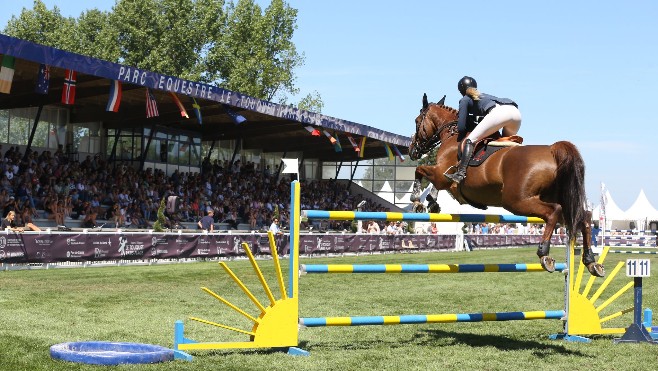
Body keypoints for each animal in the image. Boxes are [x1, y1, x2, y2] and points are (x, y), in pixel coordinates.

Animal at [408, 94, 604, 278]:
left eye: (417, 121)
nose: (412, 150)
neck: (452, 135)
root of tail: (552, 150)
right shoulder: (445, 181)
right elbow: (434, 185)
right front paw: (432, 202)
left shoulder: (442, 175)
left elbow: (420, 170)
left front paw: (417, 201)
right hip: (557, 199)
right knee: (584, 217)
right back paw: (591, 261)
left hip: (516, 201)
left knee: (553, 212)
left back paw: (544, 254)